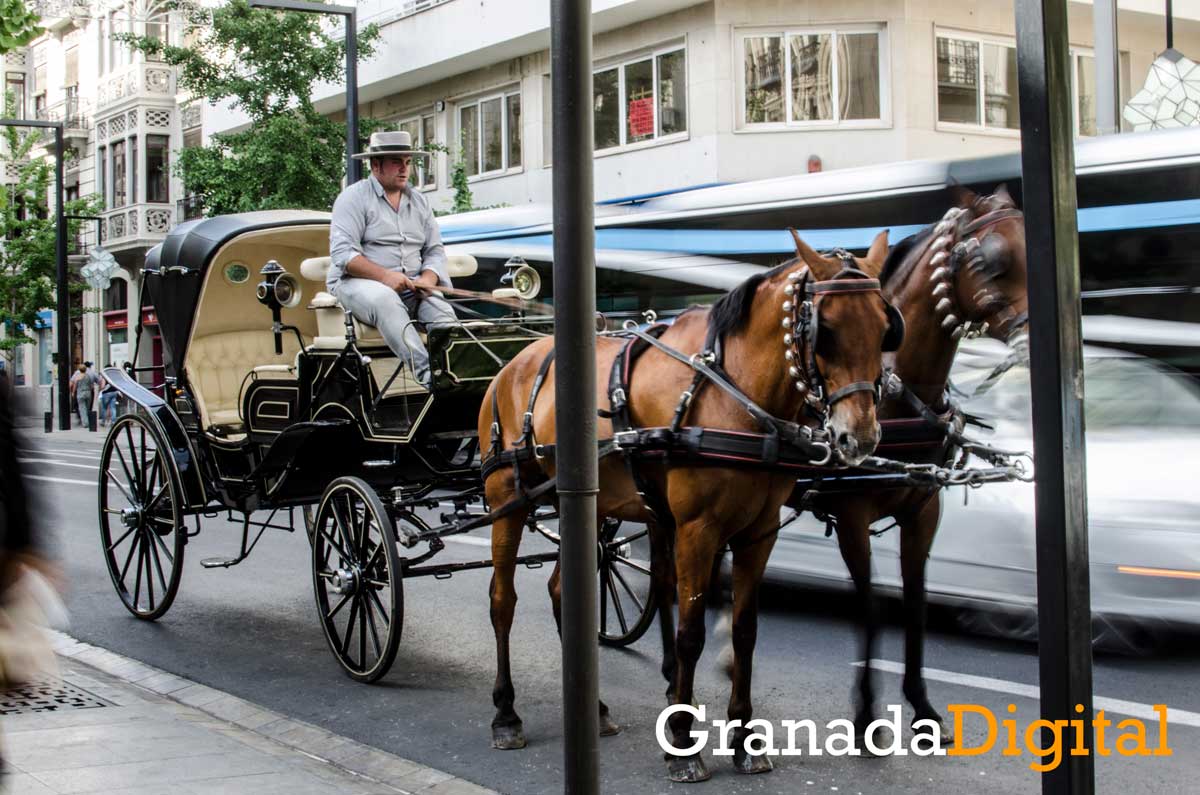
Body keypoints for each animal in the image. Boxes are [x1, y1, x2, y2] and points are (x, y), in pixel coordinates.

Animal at [477, 231, 902, 782]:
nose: (861, 436)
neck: (734, 394)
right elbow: (690, 633)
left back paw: (595, 711)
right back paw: (506, 713)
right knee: (502, 600)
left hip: (585, 507)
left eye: (885, 326)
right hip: (506, 499)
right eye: (823, 330)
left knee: (560, 591)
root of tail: (514, 361)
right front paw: (682, 740)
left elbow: (744, 630)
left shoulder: (759, 532)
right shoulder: (698, 530)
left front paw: (744, 738)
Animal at [801, 187, 1027, 739]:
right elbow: (871, 605)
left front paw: (922, 707)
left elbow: (915, 600)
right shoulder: (852, 518)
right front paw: (866, 711)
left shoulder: (923, 512)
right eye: (990, 260)